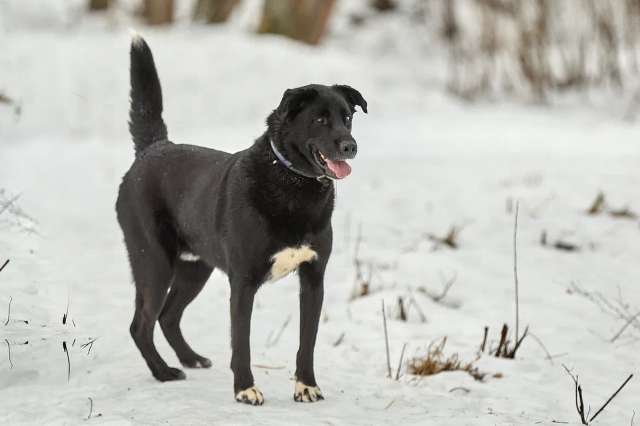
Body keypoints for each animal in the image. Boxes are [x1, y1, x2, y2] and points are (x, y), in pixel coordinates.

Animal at [115, 35, 364, 404]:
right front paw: (245, 389)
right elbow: (241, 343)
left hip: (194, 268)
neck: (292, 184)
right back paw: (163, 372)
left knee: (168, 316)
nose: (350, 146)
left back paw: (191, 358)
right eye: (320, 120)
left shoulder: (313, 279)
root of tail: (153, 148)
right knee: (141, 324)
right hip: (154, 264)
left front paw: (306, 386)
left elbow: (307, 342)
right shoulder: (243, 282)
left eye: (347, 117)